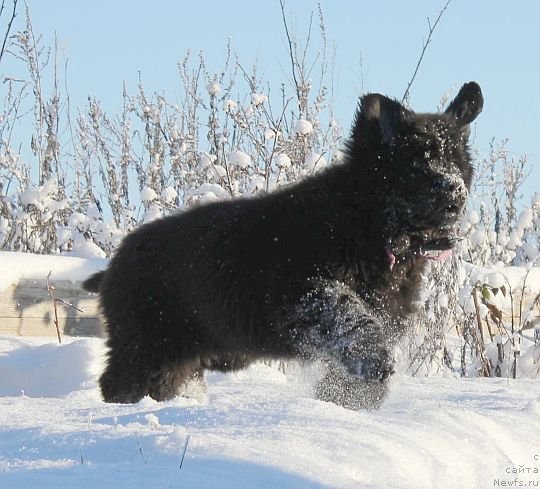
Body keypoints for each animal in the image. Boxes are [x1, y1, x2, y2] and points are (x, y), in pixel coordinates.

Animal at [85, 83, 486, 408]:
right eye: (419, 161)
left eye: (456, 160)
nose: (455, 194)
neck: (367, 222)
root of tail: (113, 267)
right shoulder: (300, 293)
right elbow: (346, 313)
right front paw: (374, 360)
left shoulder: (390, 312)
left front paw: (352, 404)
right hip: (148, 344)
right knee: (121, 380)